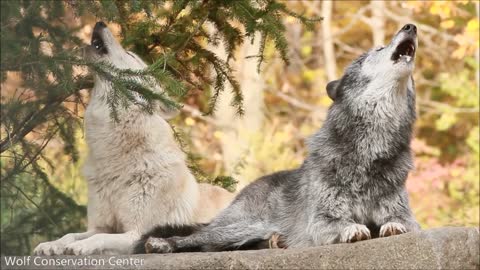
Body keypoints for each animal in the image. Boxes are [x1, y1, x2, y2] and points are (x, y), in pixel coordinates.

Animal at [32, 21, 235, 255]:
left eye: (130, 54)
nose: (100, 23)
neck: (114, 161)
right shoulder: (100, 225)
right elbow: (71, 234)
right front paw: (51, 244)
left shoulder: (136, 233)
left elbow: (98, 238)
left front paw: (79, 247)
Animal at [138, 23, 420, 253]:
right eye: (378, 49)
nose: (411, 27)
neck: (370, 148)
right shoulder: (321, 218)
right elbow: (340, 223)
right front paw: (352, 228)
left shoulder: (406, 214)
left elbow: (401, 221)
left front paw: (392, 226)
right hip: (244, 225)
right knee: (197, 238)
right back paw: (161, 244)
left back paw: (276, 242)